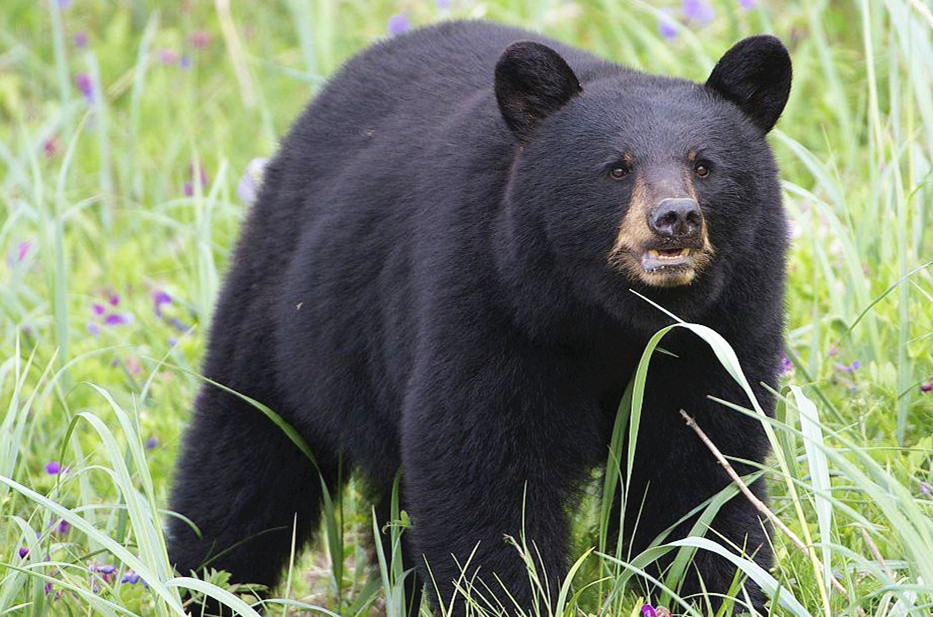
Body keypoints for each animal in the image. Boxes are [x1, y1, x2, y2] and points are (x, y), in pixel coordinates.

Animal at [167, 19, 788, 616]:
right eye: (616, 168)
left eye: (704, 166)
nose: (675, 218)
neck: (610, 316)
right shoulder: (489, 301)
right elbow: (484, 472)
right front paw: (503, 597)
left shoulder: (721, 326)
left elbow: (698, 471)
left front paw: (719, 592)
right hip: (288, 311)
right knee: (244, 457)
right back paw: (204, 585)